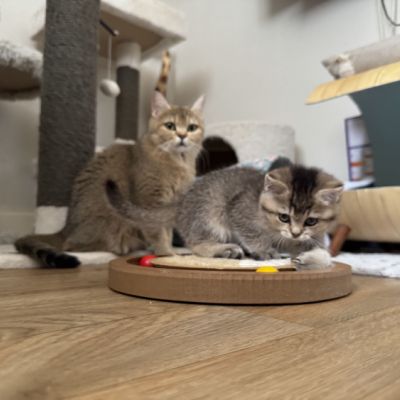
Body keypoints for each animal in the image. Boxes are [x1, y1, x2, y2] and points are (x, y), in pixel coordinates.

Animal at [15, 91, 205, 267]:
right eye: (170, 125)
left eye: (192, 127)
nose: (182, 135)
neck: (178, 162)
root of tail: (65, 229)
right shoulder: (150, 201)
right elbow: (158, 233)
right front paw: (166, 253)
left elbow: (168, 231)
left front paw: (170, 251)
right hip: (111, 221)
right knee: (72, 245)